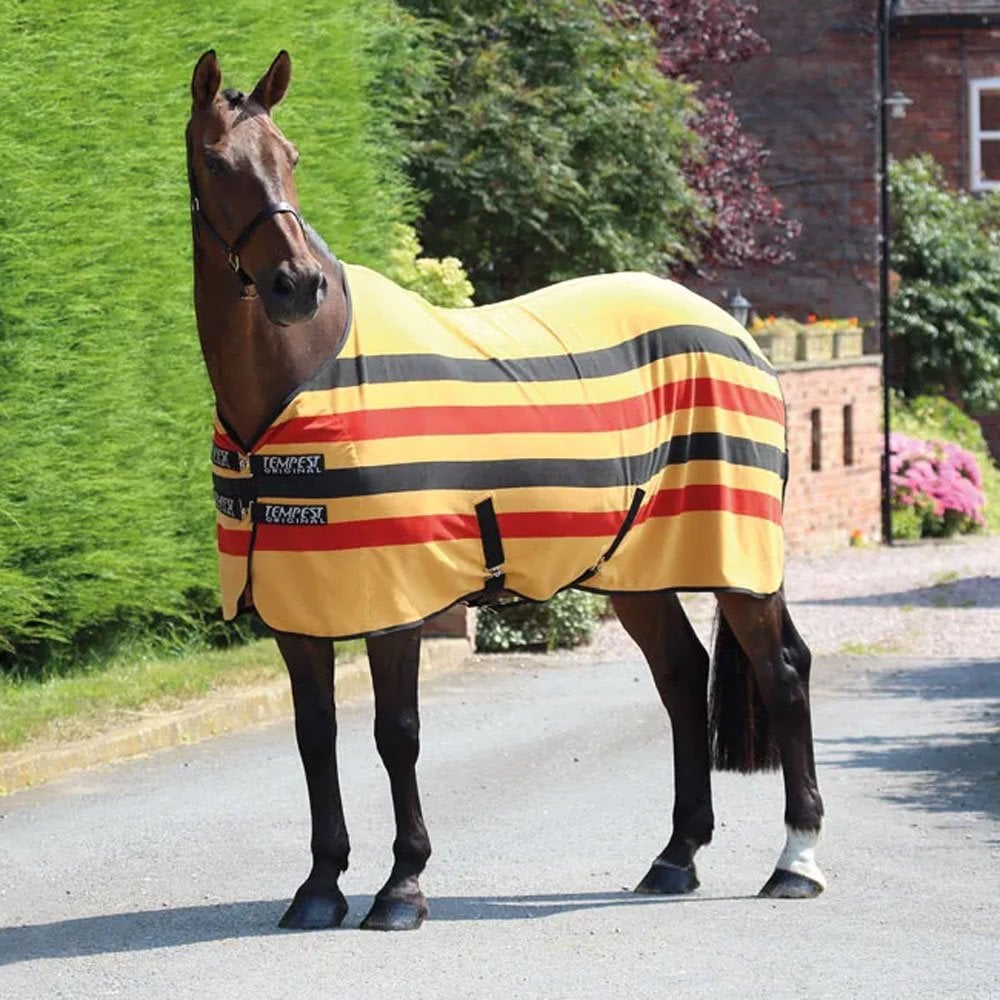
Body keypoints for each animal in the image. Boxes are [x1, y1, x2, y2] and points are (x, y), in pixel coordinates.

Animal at [184, 52, 824, 928]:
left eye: (291, 157)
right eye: (217, 163)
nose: (296, 286)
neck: (299, 383)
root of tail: (737, 336)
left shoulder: (398, 602)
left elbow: (397, 733)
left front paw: (402, 887)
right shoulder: (295, 605)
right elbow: (316, 735)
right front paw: (318, 889)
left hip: (738, 561)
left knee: (783, 673)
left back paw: (797, 862)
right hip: (634, 570)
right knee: (681, 675)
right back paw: (675, 857)